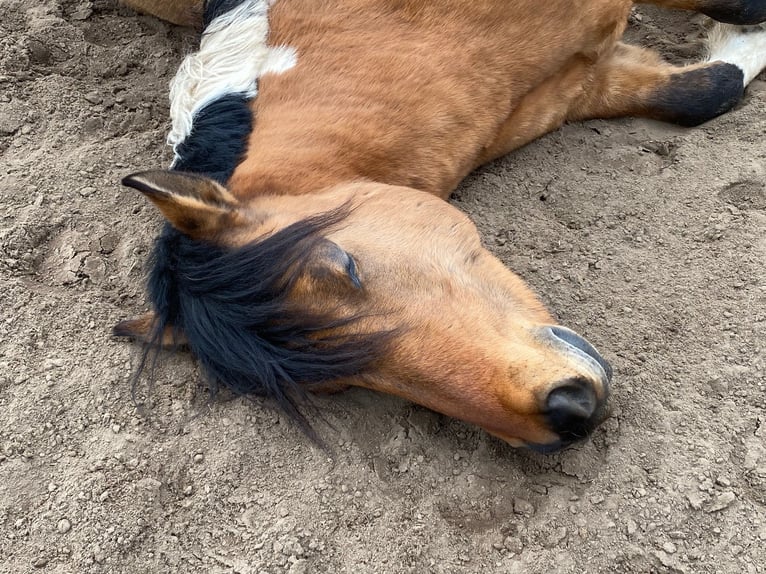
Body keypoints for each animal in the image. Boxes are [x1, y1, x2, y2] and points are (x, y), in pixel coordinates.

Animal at [113, 0, 766, 451]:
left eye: (342, 265)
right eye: (343, 382)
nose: (570, 412)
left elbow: (720, 63)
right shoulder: (582, 85)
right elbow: (706, 89)